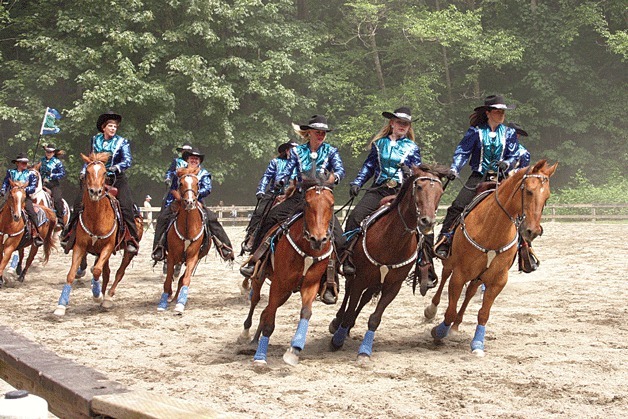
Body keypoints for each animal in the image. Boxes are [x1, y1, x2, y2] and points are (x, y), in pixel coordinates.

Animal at [157, 167, 209, 316]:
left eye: (197, 183)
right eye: (181, 183)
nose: (190, 202)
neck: (187, 228)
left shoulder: (193, 257)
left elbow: (185, 280)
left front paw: (180, 304)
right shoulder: (171, 256)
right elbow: (167, 280)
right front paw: (163, 302)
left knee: (181, 278)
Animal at [239, 172, 336, 366]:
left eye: (331, 203)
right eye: (307, 203)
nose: (318, 239)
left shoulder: (310, 285)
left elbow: (306, 312)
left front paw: (295, 350)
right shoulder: (279, 283)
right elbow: (270, 321)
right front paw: (260, 357)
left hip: (287, 291)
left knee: (266, 310)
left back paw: (255, 341)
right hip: (261, 277)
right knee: (256, 301)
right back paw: (248, 335)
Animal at [326, 166, 448, 362]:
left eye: (439, 192)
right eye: (419, 187)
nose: (427, 222)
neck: (391, 240)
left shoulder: (393, 286)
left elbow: (375, 318)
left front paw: (364, 352)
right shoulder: (361, 279)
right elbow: (351, 306)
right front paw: (337, 340)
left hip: (377, 282)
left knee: (365, 298)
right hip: (359, 277)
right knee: (349, 295)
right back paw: (337, 323)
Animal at [424, 159, 556, 356]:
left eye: (547, 196)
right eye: (529, 191)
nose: (532, 231)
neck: (492, 229)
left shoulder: (498, 279)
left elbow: (483, 313)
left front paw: (477, 344)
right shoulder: (460, 274)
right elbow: (450, 310)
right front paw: (439, 332)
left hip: (479, 275)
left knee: (470, 293)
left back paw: (455, 327)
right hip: (451, 263)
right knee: (444, 279)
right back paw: (431, 311)